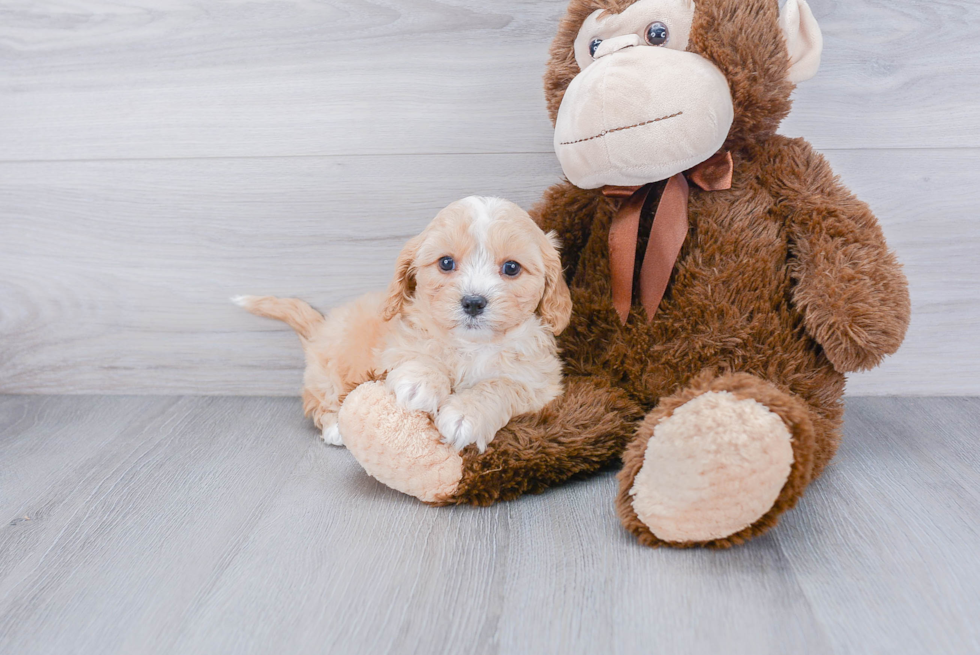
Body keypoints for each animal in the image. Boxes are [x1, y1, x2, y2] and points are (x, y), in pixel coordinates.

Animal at [236, 195, 572, 452]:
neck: (471, 345)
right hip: (330, 370)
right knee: (321, 401)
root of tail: (321, 326)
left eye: (512, 268)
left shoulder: (541, 384)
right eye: (446, 263)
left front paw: (466, 414)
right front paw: (421, 382)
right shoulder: (396, 344)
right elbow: (417, 353)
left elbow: (502, 385)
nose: (474, 302)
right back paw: (336, 428)